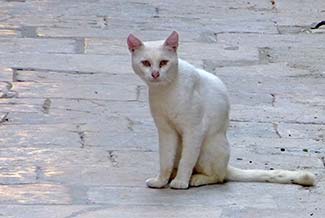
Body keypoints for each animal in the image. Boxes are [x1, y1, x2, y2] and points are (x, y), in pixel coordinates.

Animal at [126, 30, 314, 189]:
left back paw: (195, 179)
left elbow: (187, 161)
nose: (155, 74)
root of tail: (227, 164)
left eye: (164, 62)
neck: (165, 92)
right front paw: (161, 181)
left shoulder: (194, 129)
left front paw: (181, 182)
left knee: (218, 176)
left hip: (207, 146)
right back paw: (174, 175)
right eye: (146, 63)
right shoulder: (166, 131)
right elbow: (165, 160)